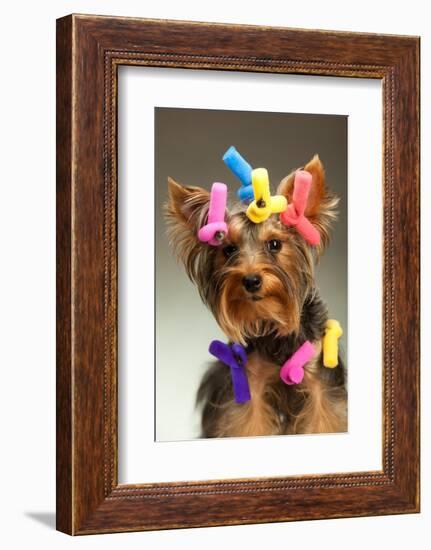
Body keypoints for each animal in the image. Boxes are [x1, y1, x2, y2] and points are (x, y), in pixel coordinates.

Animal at [165, 155, 348, 440]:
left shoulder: (320, 381)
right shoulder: (251, 382)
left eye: (274, 244)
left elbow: (324, 417)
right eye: (229, 249)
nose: (251, 280)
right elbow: (249, 422)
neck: (272, 320)